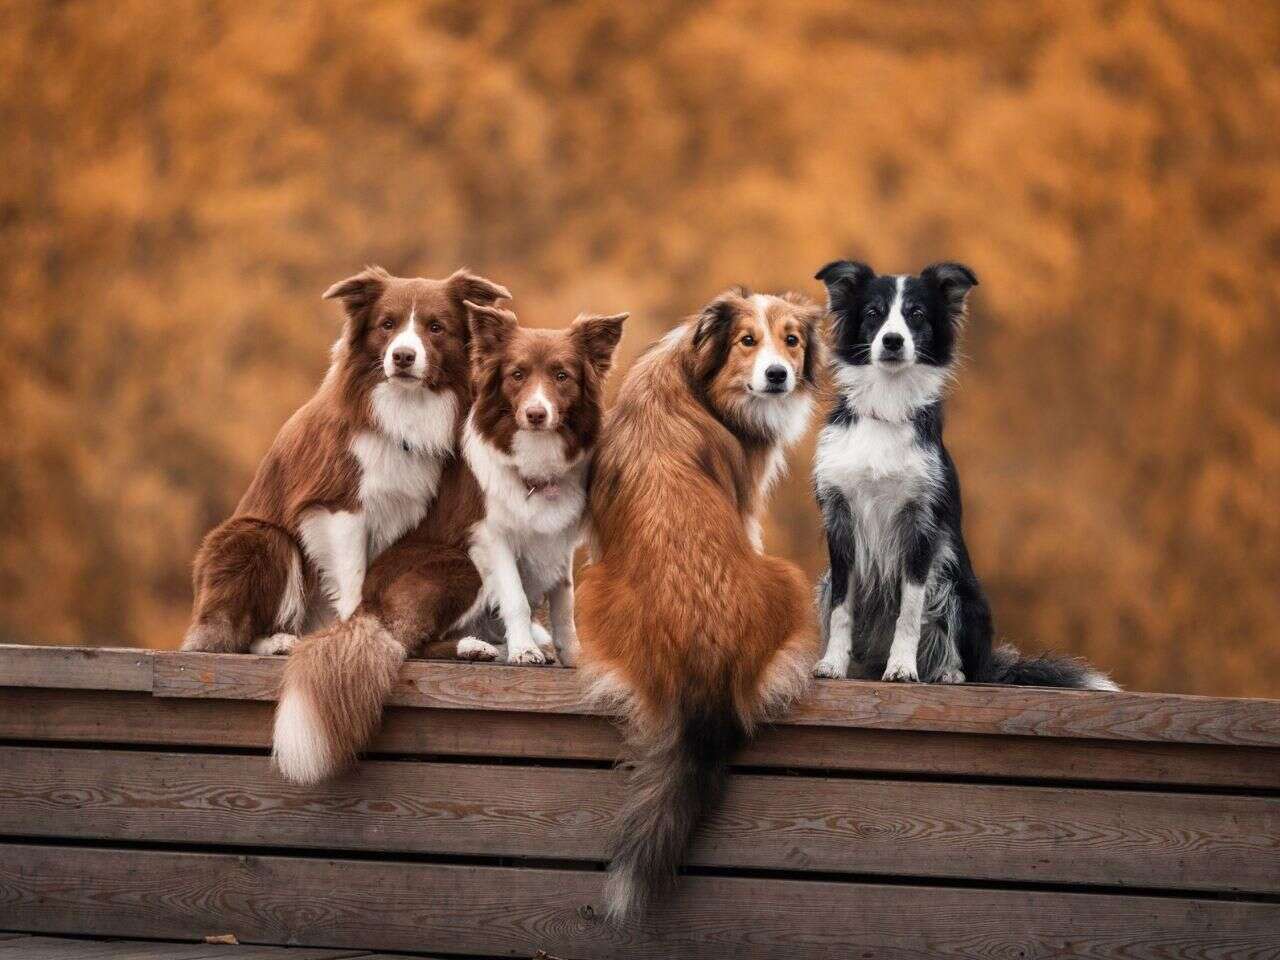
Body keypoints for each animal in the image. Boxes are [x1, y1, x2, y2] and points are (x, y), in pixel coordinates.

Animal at [181, 263, 509, 660]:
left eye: (435, 327)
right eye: (387, 324)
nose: (402, 356)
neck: (402, 406)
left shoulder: (403, 509)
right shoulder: (339, 504)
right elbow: (353, 578)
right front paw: (354, 635)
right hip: (259, 537)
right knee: (236, 634)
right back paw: (279, 640)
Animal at [453, 300, 627, 670]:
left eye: (562, 375)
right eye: (517, 374)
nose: (536, 414)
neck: (536, 457)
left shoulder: (558, 540)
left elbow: (564, 602)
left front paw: (571, 654)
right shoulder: (493, 536)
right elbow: (516, 597)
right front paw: (523, 649)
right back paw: (475, 647)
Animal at [578, 288, 819, 926]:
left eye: (791, 340)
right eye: (748, 341)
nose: (779, 375)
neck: (695, 373)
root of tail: (707, 669)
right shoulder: (747, 502)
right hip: (790, 579)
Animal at [814, 257, 1116, 691]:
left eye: (917, 315)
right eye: (873, 314)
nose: (892, 340)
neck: (888, 405)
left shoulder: (921, 526)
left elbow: (910, 611)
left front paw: (902, 668)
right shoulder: (839, 523)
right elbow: (842, 609)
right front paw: (832, 664)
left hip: (956, 584)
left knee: (966, 659)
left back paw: (946, 671)